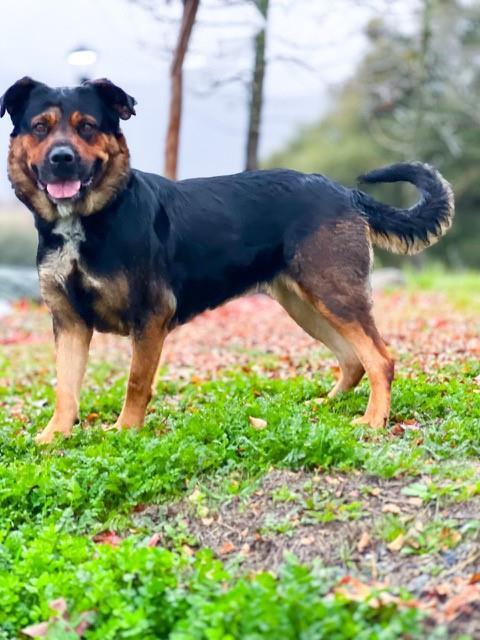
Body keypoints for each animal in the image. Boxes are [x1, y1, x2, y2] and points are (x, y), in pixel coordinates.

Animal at [1, 77, 456, 442]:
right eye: (40, 128)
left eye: (88, 127)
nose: (62, 159)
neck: (90, 219)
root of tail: (346, 193)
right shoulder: (69, 322)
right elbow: (65, 388)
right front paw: (54, 437)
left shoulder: (150, 315)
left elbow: (135, 382)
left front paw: (125, 432)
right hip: (305, 304)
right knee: (352, 359)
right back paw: (326, 406)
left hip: (334, 294)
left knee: (380, 359)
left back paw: (374, 420)